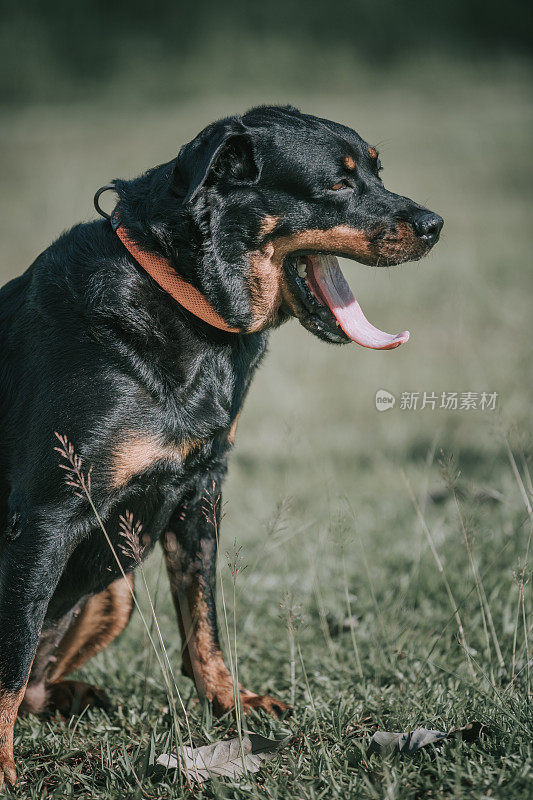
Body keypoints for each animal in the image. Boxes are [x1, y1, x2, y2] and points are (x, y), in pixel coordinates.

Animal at [0, 103, 440, 784]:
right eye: (338, 183)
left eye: (375, 169)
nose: (434, 224)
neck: (181, 295)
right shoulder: (45, 514)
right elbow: (12, 657)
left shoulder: (199, 489)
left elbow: (201, 618)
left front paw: (231, 703)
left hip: (117, 588)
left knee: (42, 685)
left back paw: (80, 696)